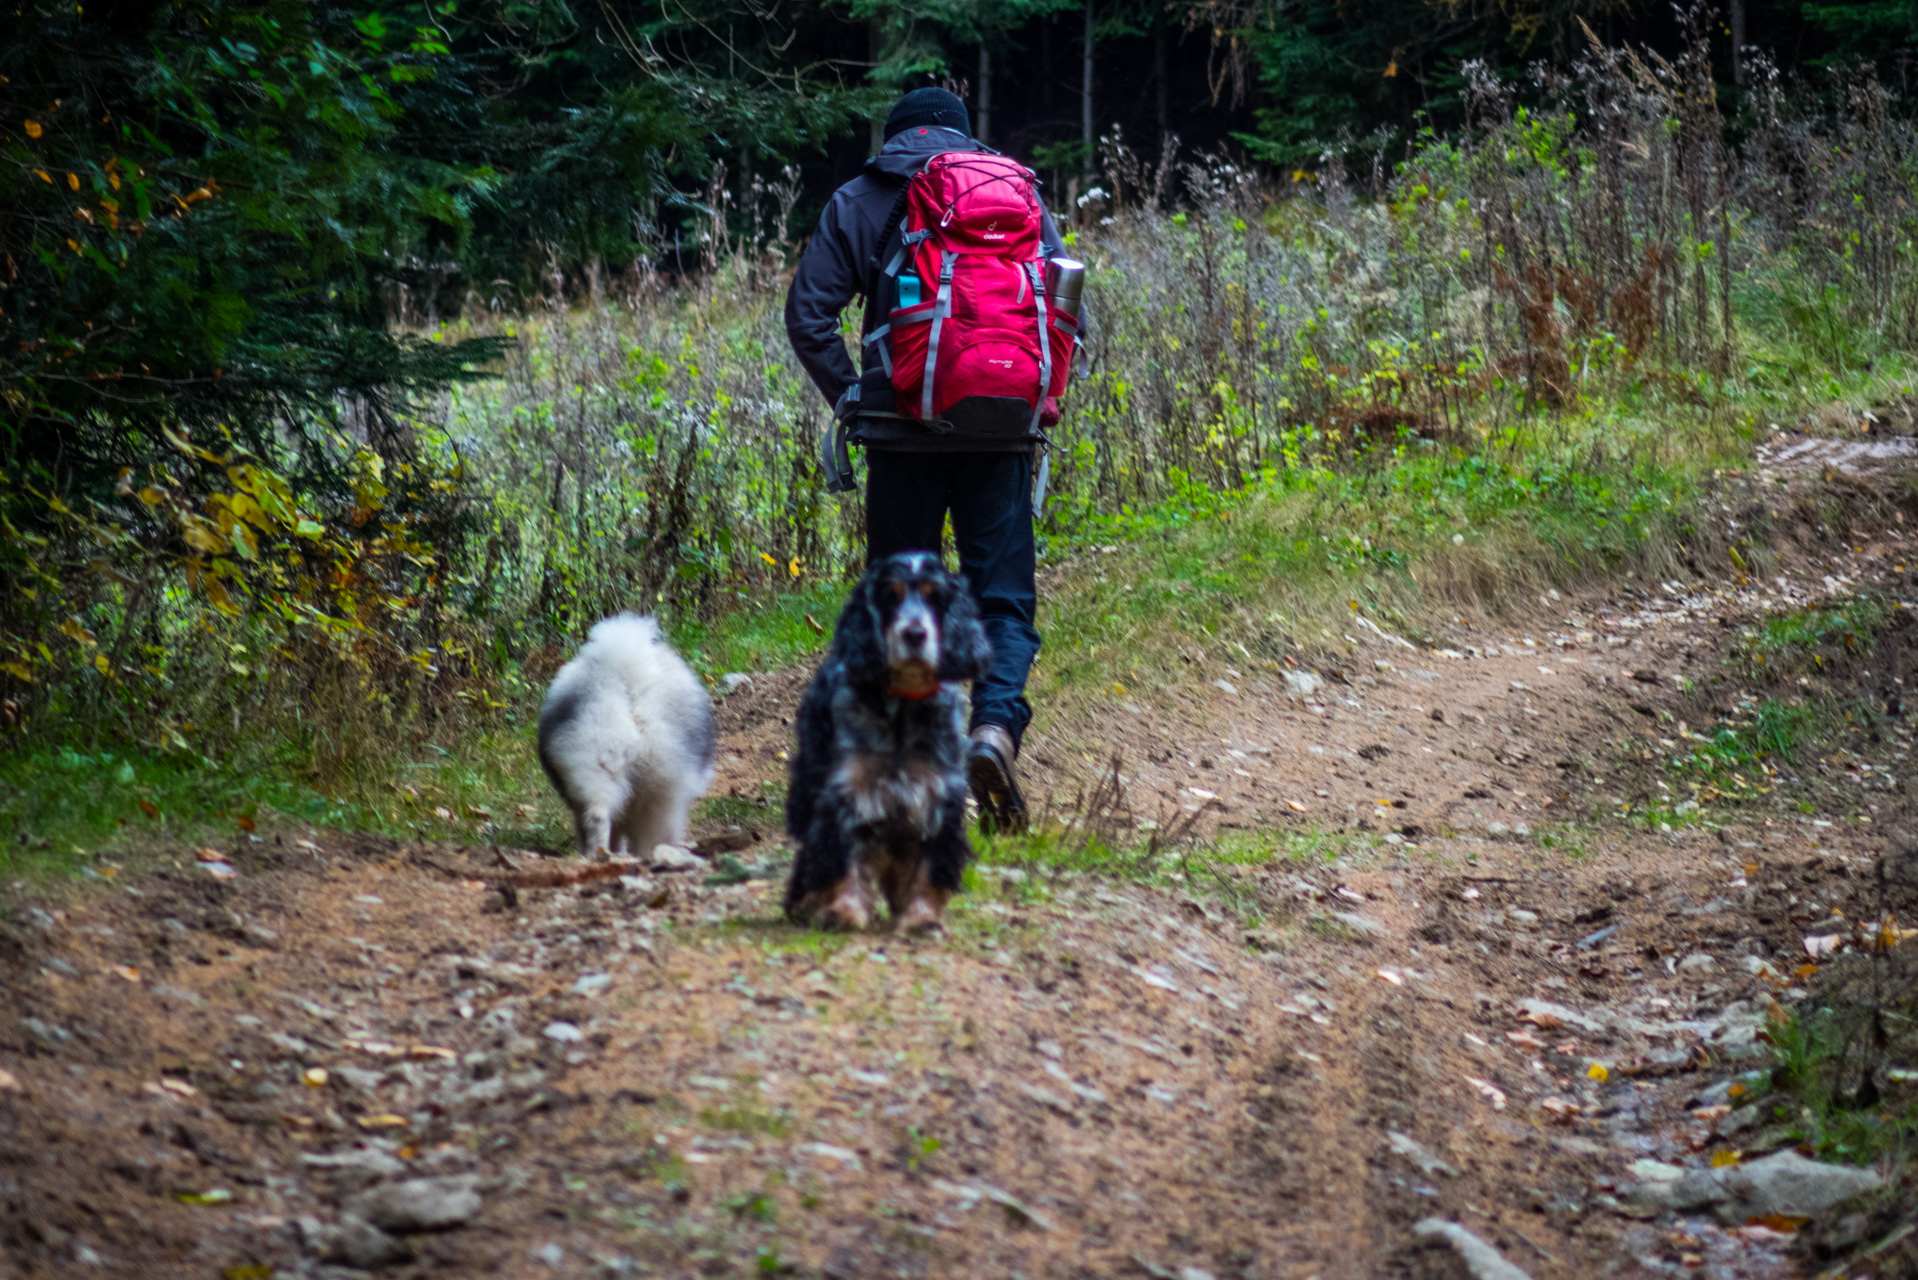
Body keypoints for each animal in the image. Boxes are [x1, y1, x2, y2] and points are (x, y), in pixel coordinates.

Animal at [537, 614, 717, 859]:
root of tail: (628, 684)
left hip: (595, 765)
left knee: (597, 816)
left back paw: (597, 854)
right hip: (661, 789)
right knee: (645, 831)